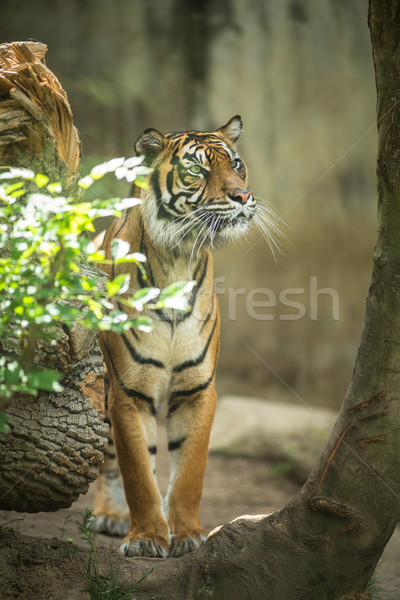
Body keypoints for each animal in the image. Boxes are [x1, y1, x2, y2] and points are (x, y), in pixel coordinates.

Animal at [92, 116, 270, 556]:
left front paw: (187, 534)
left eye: (236, 164)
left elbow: (190, 471)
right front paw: (146, 537)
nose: (243, 195)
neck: (178, 258)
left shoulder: (198, 389)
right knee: (107, 457)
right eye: (197, 170)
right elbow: (138, 472)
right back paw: (111, 515)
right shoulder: (127, 391)